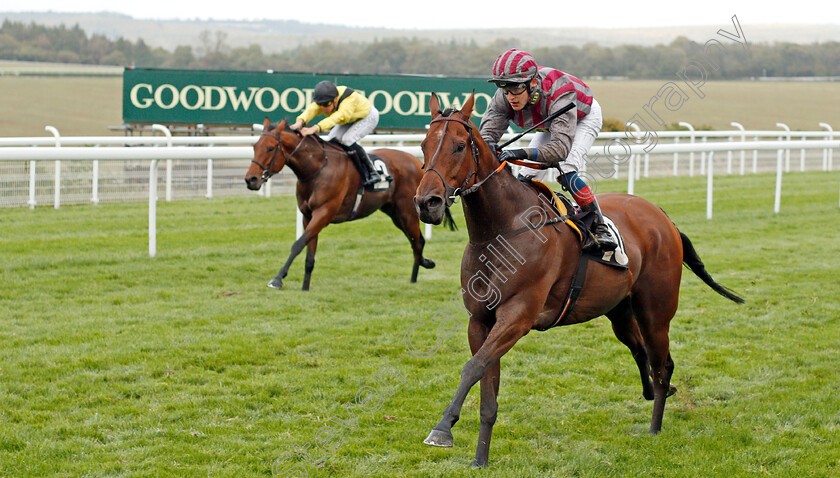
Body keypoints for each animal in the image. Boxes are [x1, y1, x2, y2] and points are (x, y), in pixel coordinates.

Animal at [246, 118, 450, 292]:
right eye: (255, 146)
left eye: (271, 148)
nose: (250, 179)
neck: (317, 168)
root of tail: (418, 162)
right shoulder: (308, 216)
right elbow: (309, 253)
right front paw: (305, 287)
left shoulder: (324, 213)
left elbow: (298, 244)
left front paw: (277, 279)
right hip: (394, 213)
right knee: (415, 241)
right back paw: (420, 269)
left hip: (407, 212)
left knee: (418, 241)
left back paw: (416, 276)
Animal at [414, 92, 740, 466]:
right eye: (423, 145)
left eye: (458, 146)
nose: (426, 203)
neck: (501, 230)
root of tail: (662, 217)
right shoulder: (481, 320)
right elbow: (485, 385)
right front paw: (480, 458)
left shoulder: (518, 316)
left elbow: (472, 367)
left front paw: (441, 430)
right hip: (620, 311)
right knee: (641, 351)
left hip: (656, 311)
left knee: (662, 365)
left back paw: (655, 427)